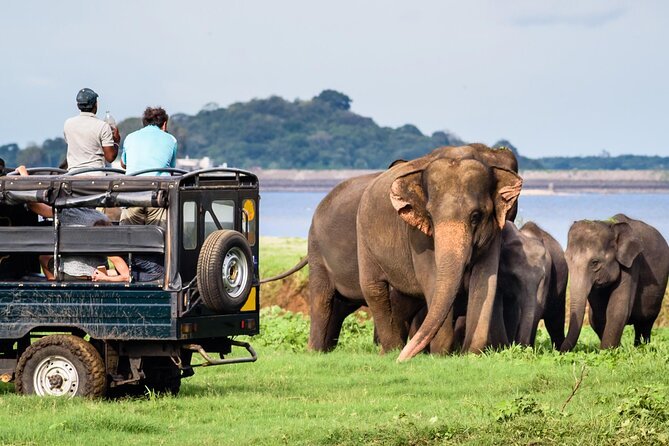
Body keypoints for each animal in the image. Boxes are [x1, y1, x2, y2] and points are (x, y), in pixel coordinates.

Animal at [356, 144, 522, 360]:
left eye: (476, 216)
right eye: (430, 215)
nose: (402, 361)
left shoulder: (494, 231)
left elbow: (485, 279)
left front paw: (470, 354)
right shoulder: (418, 236)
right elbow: (432, 279)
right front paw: (441, 355)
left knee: (403, 299)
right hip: (363, 238)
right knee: (373, 289)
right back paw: (391, 352)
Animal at [560, 214, 669, 351]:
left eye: (595, 262)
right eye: (566, 260)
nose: (557, 350)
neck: (610, 224)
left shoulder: (632, 263)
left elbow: (617, 309)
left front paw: (608, 351)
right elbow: (597, 316)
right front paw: (616, 349)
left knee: (645, 322)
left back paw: (641, 348)